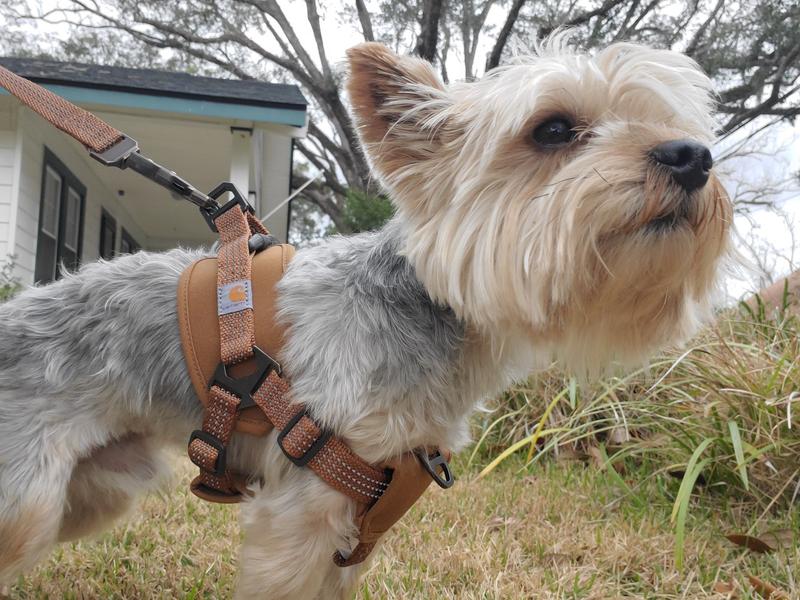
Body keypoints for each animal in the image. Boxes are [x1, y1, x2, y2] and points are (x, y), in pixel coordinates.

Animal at [0, 38, 732, 600]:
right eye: (552, 129)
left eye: (666, 122)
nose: (693, 157)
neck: (434, 309)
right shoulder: (304, 512)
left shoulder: (359, 520)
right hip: (26, 498)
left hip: (97, 486)